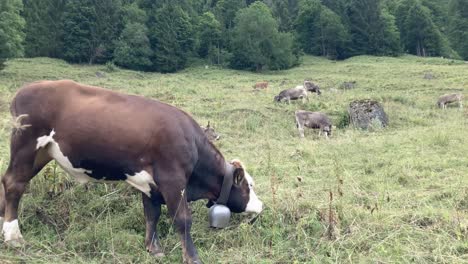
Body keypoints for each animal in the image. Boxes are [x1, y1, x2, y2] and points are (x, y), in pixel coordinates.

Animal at [0, 80, 264, 264]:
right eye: (249, 185)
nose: (260, 205)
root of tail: (25, 90)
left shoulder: (151, 185)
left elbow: (151, 215)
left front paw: (153, 249)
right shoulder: (172, 179)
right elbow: (182, 219)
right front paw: (192, 257)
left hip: (41, 154)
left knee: (7, 183)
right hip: (27, 145)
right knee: (14, 183)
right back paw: (13, 235)